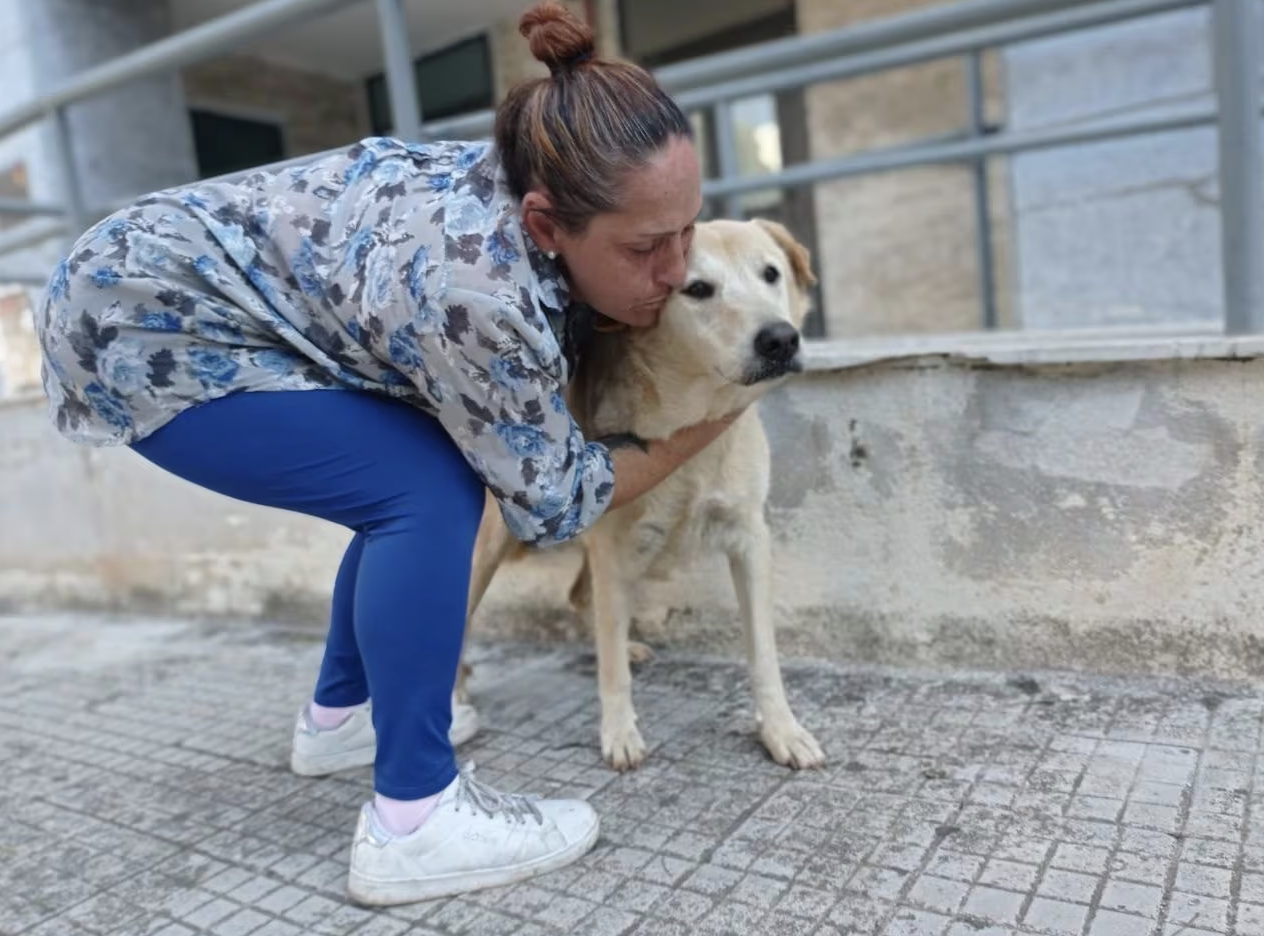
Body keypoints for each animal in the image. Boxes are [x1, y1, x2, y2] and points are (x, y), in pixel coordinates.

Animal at [460, 215, 824, 768]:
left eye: (770, 274)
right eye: (698, 289)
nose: (781, 339)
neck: (693, 419)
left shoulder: (749, 538)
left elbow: (763, 653)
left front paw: (781, 729)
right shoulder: (613, 548)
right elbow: (612, 667)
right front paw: (618, 730)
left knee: (580, 596)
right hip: (487, 547)